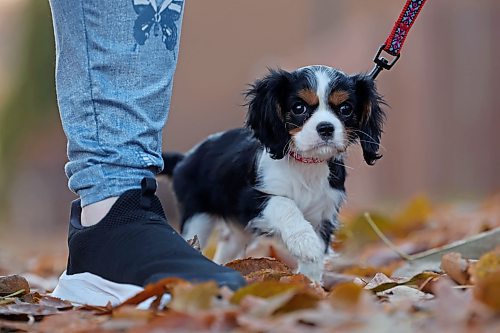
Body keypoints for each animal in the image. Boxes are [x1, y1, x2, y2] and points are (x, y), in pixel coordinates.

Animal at [162, 64, 384, 280]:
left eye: (346, 108)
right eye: (298, 107)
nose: (326, 128)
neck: (306, 163)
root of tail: (185, 159)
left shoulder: (324, 212)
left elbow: (316, 255)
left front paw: (309, 283)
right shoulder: (251, 198)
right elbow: (284, 204)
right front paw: (305, 241)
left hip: (236, 233)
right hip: (197, 218)